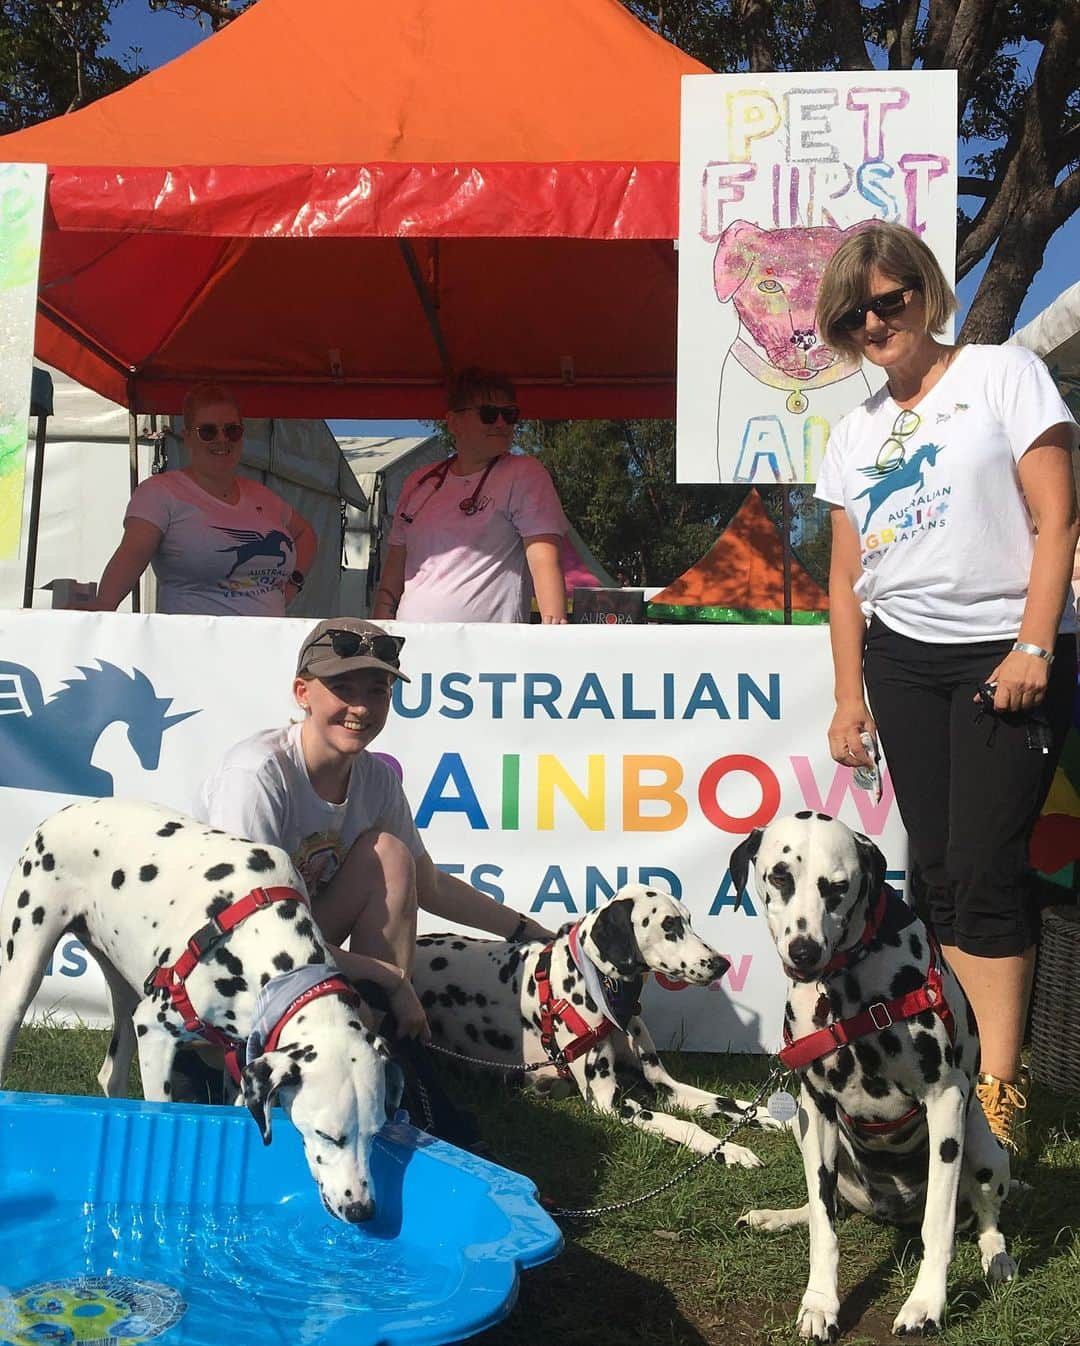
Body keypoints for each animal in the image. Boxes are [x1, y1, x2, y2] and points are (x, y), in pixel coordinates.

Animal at [0, 796, 398, 1222]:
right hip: (22, 980)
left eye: (375, 1132)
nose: (361, 1210)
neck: (265, 944)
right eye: (327, 1134)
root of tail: (65, 810)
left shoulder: (241, 1065)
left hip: (124, 996)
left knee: (111, 1074)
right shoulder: (155, 1033)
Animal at [409, 882, 775, 1168]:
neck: (603, 987)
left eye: (688, 920)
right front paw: (730, 1149)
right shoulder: (610, 1102)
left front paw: (770, 1115)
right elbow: (684, 1125)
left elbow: (725, 1102)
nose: (722, 964)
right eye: (669, 925)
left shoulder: (664, 1085)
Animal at [727, 812, 1012, 1340]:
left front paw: (926, 1304)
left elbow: (937, 1225)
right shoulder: (816, 1108)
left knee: (987, 1218)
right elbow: (824, 1224)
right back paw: (777, 1216)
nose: (803, 950)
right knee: (828, 1204)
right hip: (803, 1130)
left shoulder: (945, 1101)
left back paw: (998, 1258)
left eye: (838, 887)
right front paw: (820, 1302)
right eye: (780, 876)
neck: (845, 987)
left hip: (984, 1150)